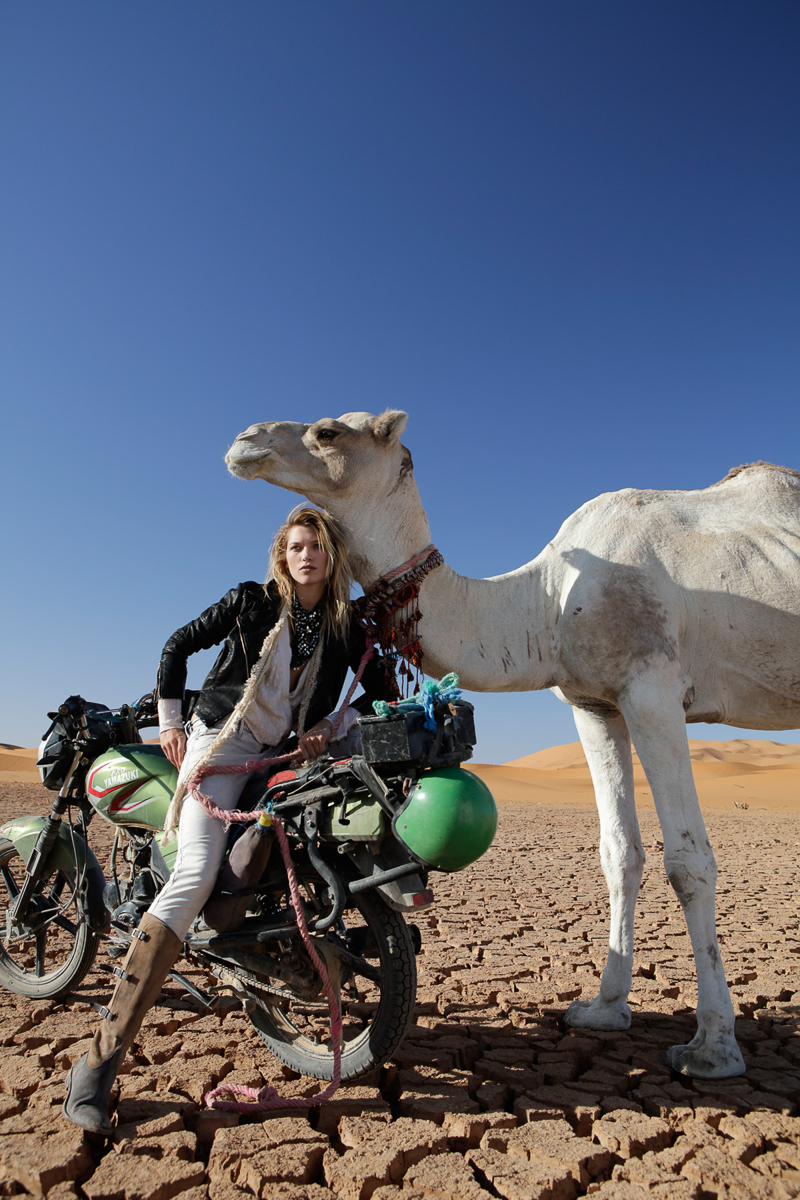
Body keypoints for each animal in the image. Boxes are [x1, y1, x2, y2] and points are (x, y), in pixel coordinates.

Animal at [224, 412, 800, 1080]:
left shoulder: (653, 687)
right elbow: (619, 853)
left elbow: (688, 862)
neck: (545, 600)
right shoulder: (596, 703)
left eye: (329, 432)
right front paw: (603, 1009)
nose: (245, 440)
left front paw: (713, 1045)